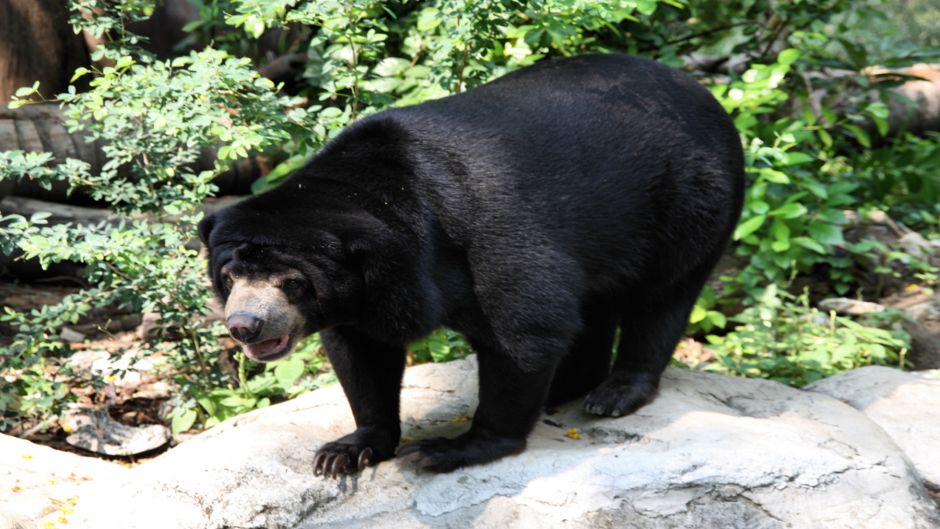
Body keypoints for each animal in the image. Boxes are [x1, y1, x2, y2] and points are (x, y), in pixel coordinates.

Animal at [199, 54, 745, 478]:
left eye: (291, 282)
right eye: (229, 277)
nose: (245, 325)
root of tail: (704, 92)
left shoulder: (485, 234)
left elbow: (526, 327)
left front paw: (450, 448)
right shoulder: (363, 296)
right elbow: (361, 352)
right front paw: (347, 450)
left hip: (690, 203)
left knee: (661, 297)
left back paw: (614, 393)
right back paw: (569, 386)